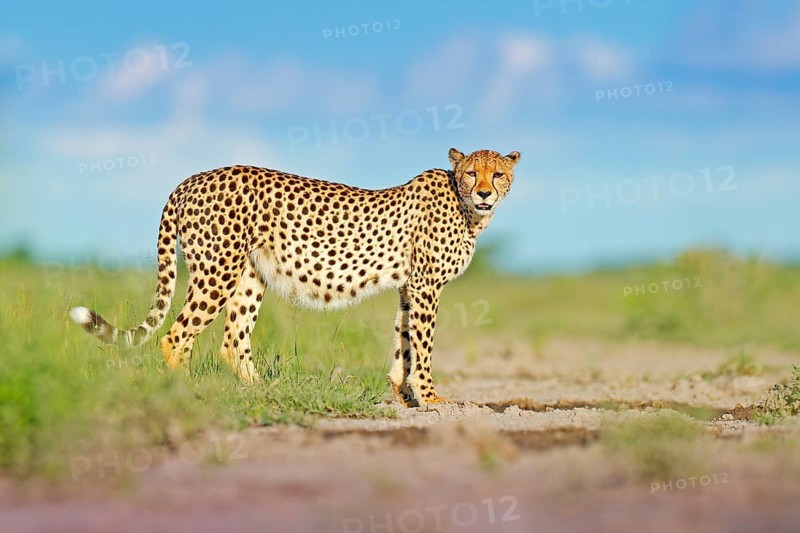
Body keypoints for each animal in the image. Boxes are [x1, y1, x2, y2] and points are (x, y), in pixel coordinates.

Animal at [69, 147, 520, 406]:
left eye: (497, 174)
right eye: (471, 173)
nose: (484, 192)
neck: (466, 207)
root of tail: (190, 179)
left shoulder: (410, 288)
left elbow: (403, 340)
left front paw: (403, 391)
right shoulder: (426, 287)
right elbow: (423, 345)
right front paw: (428, 396)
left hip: (249, 277)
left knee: (233, 340)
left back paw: (260, 390)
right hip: (217, 271)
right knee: (176, 335)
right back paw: (186, 392)